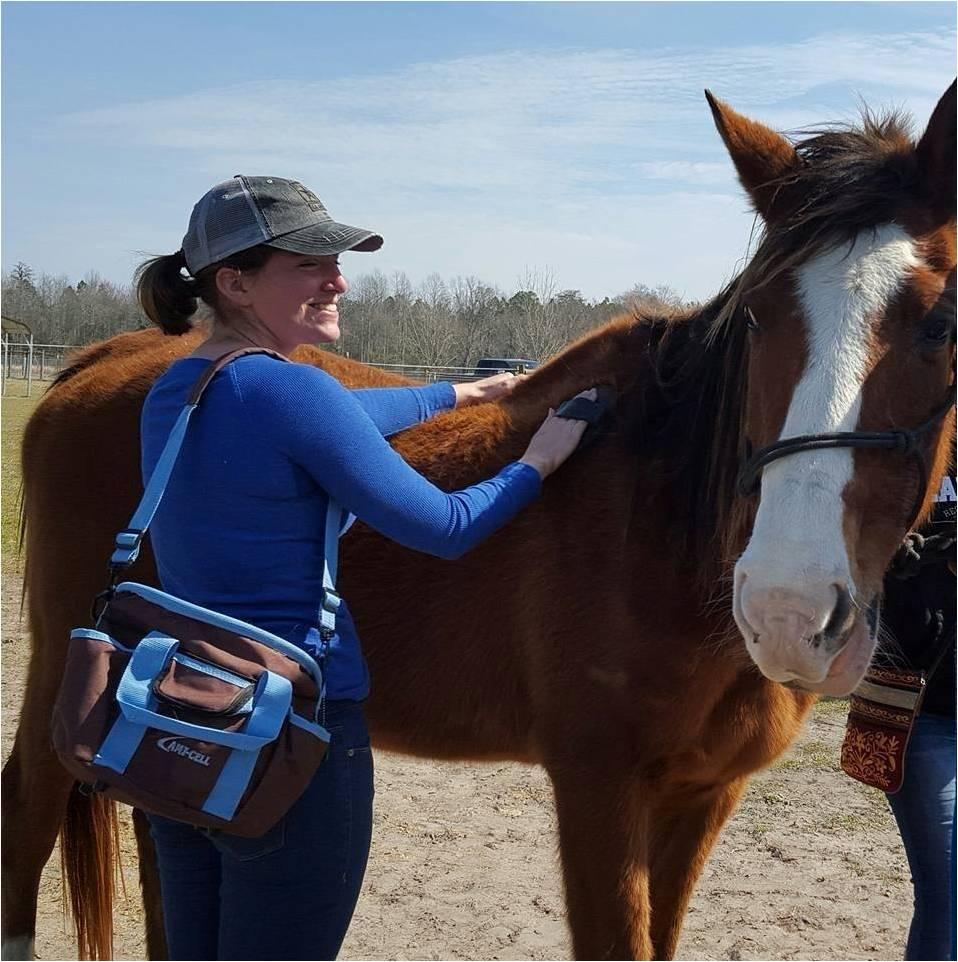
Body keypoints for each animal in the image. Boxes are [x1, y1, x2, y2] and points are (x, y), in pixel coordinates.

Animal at [2, 82, 954, 961]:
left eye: (943, 322)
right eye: (757, 314)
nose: (790, 609)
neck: (666, 533)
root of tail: (100, 361)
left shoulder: (704, 796)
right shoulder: (599, 788)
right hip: (64, 669)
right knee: (28, 817)